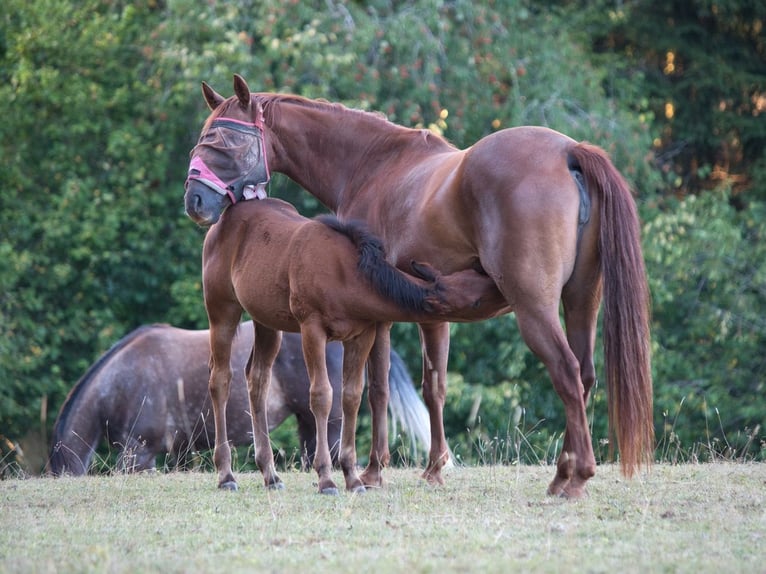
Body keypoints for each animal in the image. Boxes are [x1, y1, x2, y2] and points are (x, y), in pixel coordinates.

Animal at [196, 196, 503, 493]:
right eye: (477, 300)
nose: (499, 285)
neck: (345, 275)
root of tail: (222, 221)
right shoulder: (312, 329)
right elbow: (321, 395)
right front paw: (326, 478)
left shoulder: (361, 335)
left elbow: (352, 396)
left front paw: (352, 477)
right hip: (221, 309)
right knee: (220, 379)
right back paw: (226, 474)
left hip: (267, 321)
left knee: (257, 378)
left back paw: (270, 473)